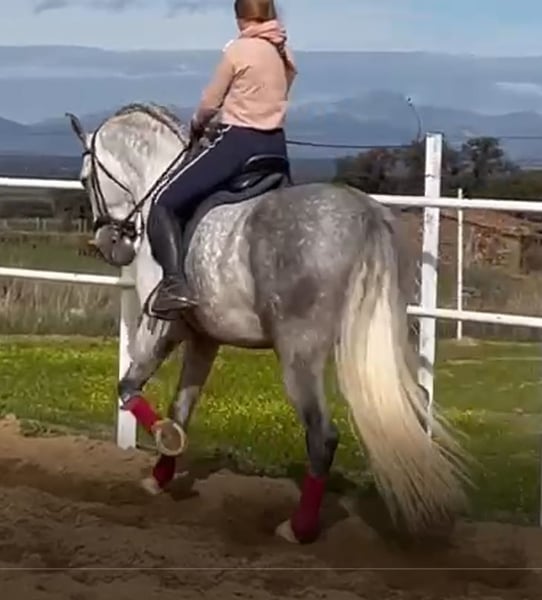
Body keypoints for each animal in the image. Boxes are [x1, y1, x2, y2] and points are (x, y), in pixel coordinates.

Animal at [66, 102, 470, 544]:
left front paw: (164, 442)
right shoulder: (205, 338)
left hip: (298, 354)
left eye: (85, 178)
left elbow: (128, 386)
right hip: (380, 340)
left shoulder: (163, 326)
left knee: (322, 434)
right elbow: (181, 406)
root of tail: (364, 213)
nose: (110, 245)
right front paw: (160, 475)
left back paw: (298, 528)